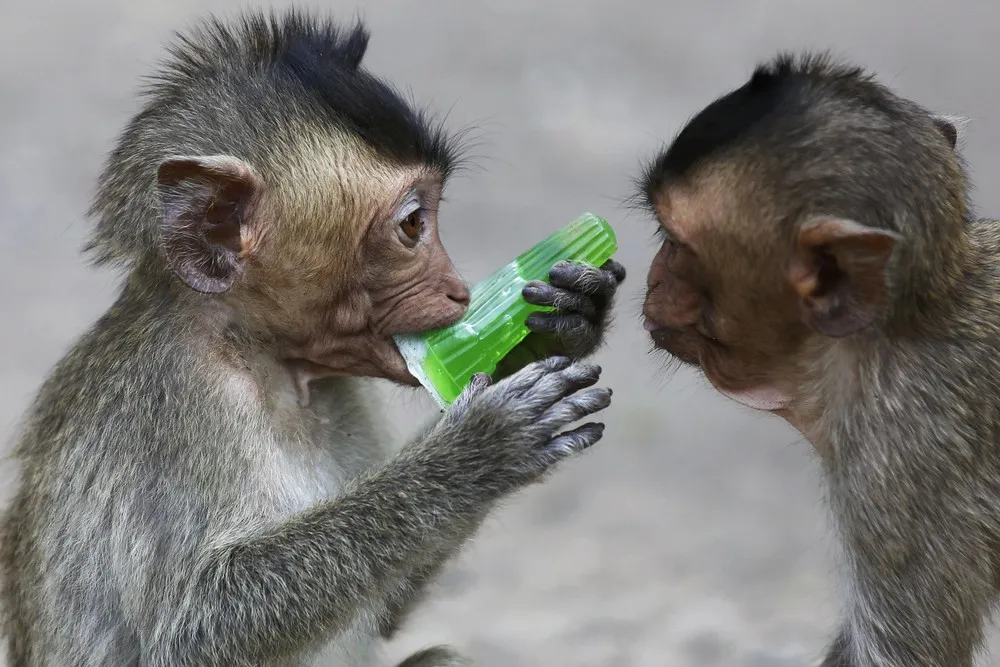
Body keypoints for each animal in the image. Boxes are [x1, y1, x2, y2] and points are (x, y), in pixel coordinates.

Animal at [0, 11, 625, 667]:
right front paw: (475, 451)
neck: (255, 355)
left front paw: (561, 324)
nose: (459, 291)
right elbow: (189, 634)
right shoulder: (178, 403)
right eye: (413, 225)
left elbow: (388, 603)